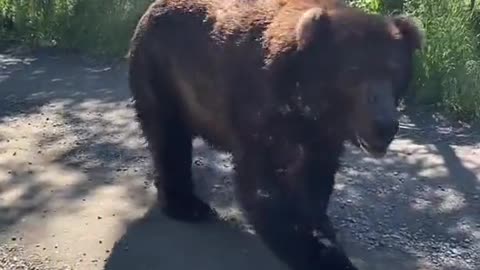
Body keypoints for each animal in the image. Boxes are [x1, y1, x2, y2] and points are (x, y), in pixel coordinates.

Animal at [125, 0, 422, 268]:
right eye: (353, 71)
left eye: (394, 71)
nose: (384, 125)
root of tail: (150, 9)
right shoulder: (261, 112)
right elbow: (264, 187)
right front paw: (322, 253)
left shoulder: (321, 137)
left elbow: (314, 181)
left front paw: (320, 230)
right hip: (162, 73)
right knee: (169, 139)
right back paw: (187, 206)